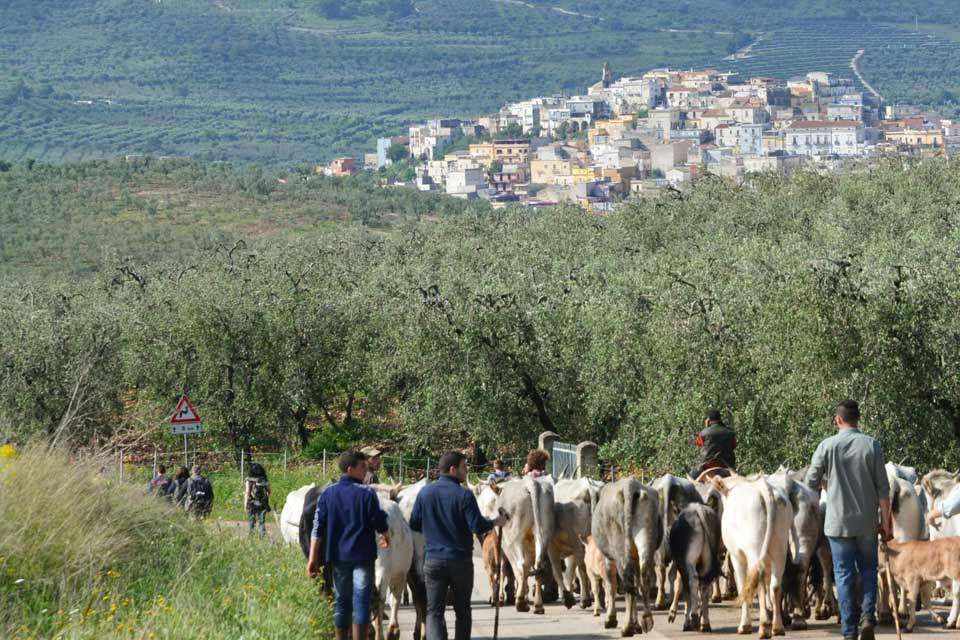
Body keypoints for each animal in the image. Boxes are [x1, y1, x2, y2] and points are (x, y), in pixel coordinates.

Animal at [592, 476, 660, 636]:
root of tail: (630, 486)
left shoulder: (608, 558)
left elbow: (610, 586)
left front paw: (611, 619)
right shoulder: (635, 558)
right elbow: (636, 584)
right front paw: (637, 624)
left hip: (620, 550)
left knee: (627, 582)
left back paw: (627, 627)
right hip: (646, 541)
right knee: (644, 577)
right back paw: (646, 619)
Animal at [712, 472, 796, 636]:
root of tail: (764, 488)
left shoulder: (736, 555)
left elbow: (742, 586)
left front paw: (745, 625)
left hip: (754, 549)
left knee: (759, 581)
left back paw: (764, 627)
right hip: (780, 548)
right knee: (775, 585)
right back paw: (777, 627)